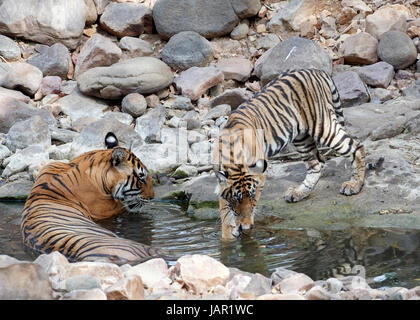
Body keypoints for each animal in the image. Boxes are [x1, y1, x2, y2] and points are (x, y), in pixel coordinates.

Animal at [212, 69, 366, 240]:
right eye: (236, 198)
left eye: (250, 195)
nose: (243, 226)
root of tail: (316, 70)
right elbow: (224, 210)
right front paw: (228, 234)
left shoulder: (261, 174)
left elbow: (252, 204)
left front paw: (245, 224)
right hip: (302, 137)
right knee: (317, 164)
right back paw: (298, 193)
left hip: (323, 126)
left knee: (356, 146)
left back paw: (355, 185)